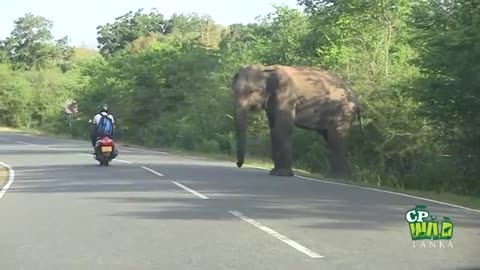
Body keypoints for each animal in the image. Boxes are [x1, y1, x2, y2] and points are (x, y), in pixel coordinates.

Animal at [232, 63, 364, 177]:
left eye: (251, 92)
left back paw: (337, 177)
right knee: (331, 139)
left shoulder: (286, 95)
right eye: (233, 91)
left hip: (344, 111)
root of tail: (357, 99)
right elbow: (274, 129)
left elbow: (283, 128)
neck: (266, 68)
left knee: (336, 138)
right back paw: (337, 176)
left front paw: (282, 174)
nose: (239, 164)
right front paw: (274, 172)